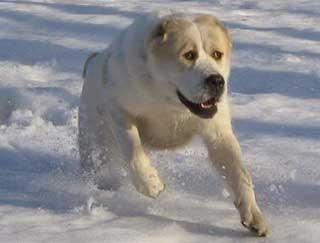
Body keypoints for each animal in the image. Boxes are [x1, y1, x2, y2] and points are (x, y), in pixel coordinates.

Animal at [78, 10, 270, 236]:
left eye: (217, 54)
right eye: (189, 55)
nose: (216, 80)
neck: (169, 100)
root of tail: (94, 60)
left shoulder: (219, 133)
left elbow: (239, 174)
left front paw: (253, 216)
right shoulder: (119, 110)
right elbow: (133, 151)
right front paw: (150, 184)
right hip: (95, 138)